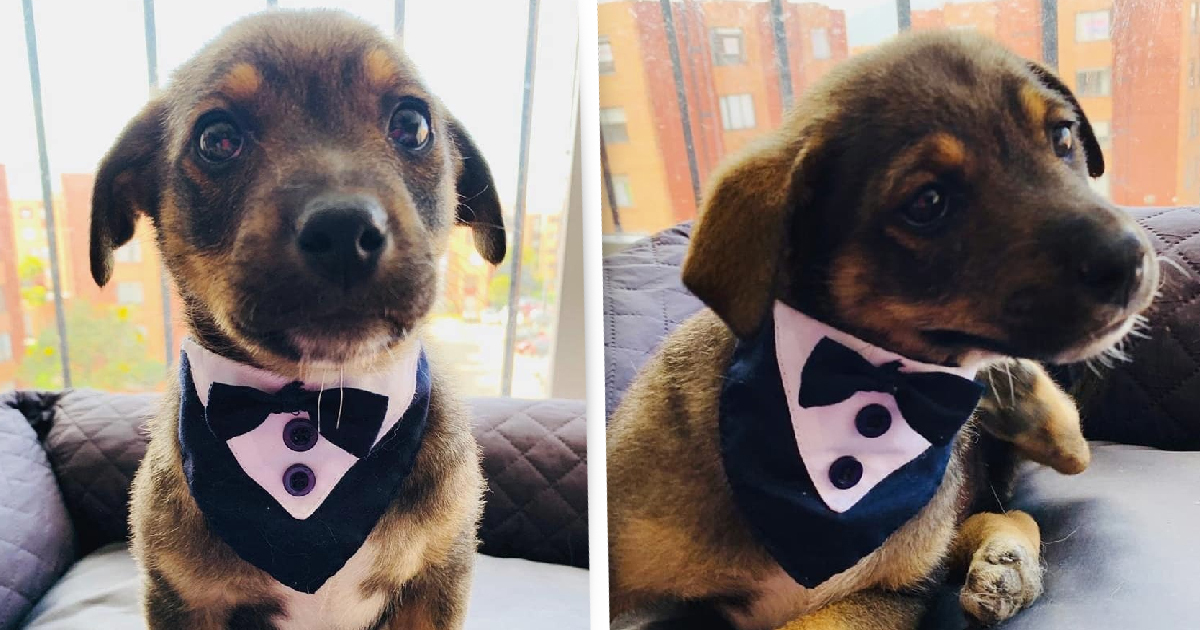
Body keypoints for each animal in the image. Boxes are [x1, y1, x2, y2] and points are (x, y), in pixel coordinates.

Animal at [87, 11, 501, 628]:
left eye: (412, 125)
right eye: (216, 139)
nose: (345, 232)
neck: (316, 397)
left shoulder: (435, 579)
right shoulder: (185, 599)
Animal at [604, 30, 1156, 628]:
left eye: (1062, 136)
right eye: (928, 203)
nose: (1132, 259)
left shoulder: (893, 592)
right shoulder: (635, 595)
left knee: (1038, 483)